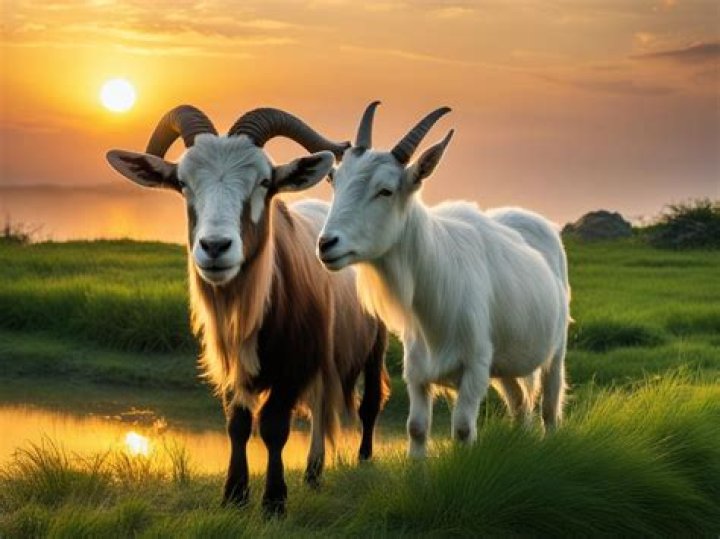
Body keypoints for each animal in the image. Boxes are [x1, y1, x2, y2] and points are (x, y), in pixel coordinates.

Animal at [106, 105, 389, 514]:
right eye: (183, 183)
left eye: (264, 181)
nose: (215, 247)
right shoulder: (231, 366)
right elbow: (237, 424)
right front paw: (235, 495)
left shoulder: (292, 367)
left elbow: (273, 426)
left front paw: (274, 502)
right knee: (321, 404)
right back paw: (313, 473)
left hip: (374, 343)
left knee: (368, 403)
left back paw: (362, 462)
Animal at [315, 102, 570, 458]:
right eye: (335, 181)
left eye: (385, 190)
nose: (327, 244)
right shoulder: (417, 373)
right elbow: (416, 428)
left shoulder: (474, 370)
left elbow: (463, 429)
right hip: (504, 364)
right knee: (520, 405)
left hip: (555, 351)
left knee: (549, 407)